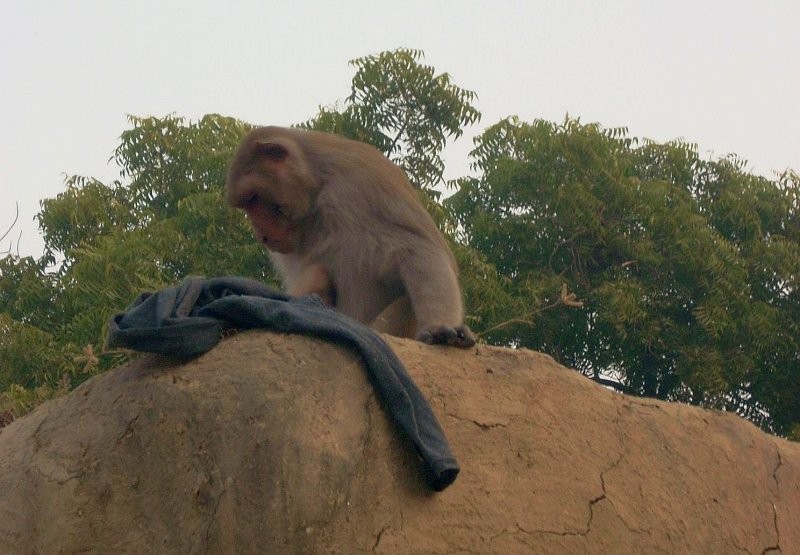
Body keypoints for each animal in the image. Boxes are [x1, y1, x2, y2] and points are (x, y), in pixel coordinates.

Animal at [225, 128, 476, 350]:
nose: (262, 235)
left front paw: (438, 326)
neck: (317, 186)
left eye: (253, 198)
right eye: (246, 203)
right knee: (318, 271)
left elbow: (419, 249)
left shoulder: (360, 182)